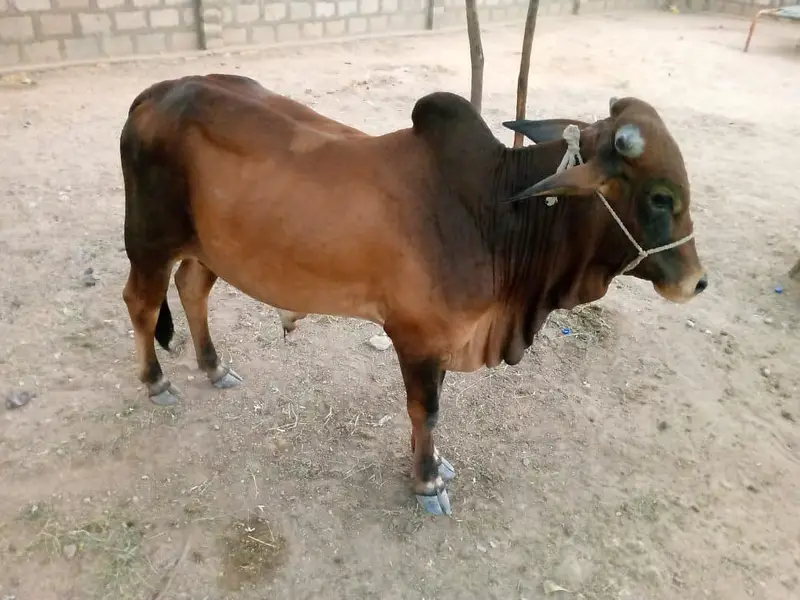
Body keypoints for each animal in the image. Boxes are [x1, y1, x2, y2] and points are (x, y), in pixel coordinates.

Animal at [120, 74, 707, 516]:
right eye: (661, 197)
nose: (696, 282)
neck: (495, 216)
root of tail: (155, 93)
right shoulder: (417, 338)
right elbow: (427, 409)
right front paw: (427, 483)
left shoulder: (445, 339)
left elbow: (431, 409)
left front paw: (430, 462)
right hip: (149, 240)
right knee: (141, 304)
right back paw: (156, 382)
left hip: (207, 248)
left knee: (191, 289)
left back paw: (214, 367)